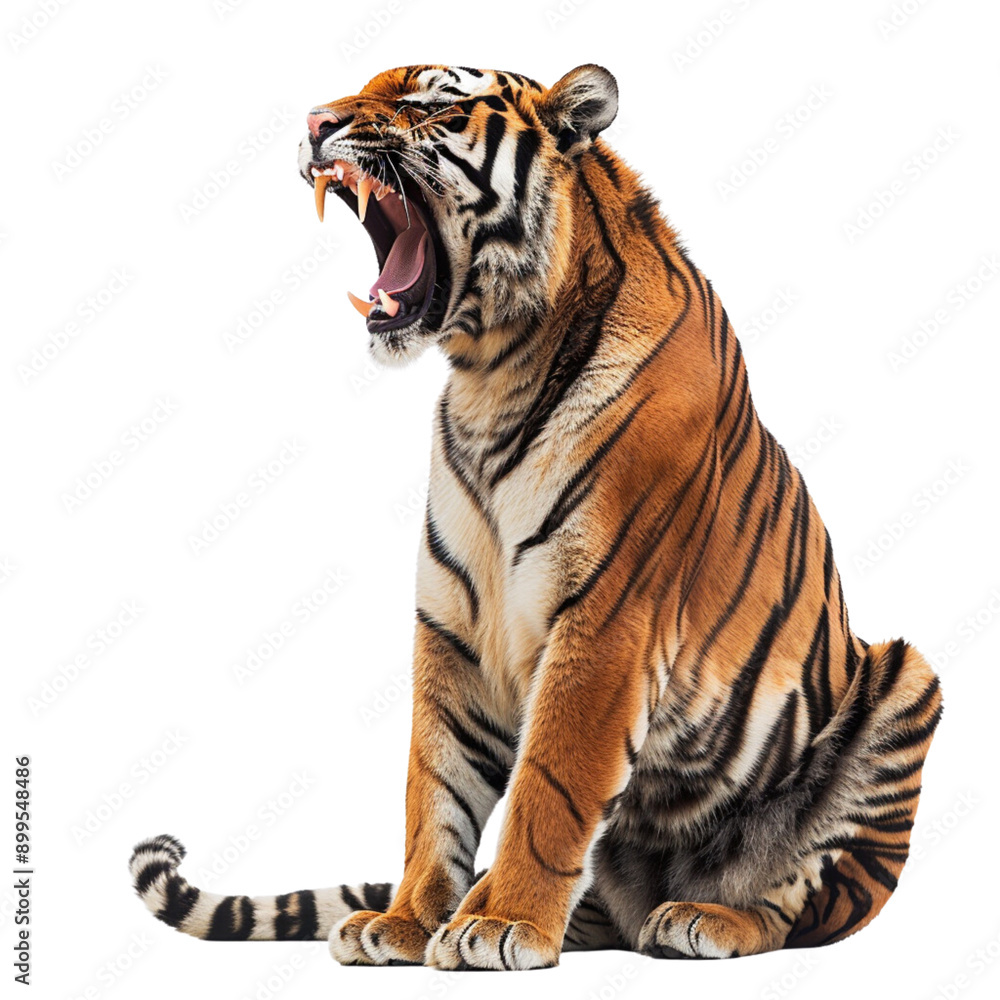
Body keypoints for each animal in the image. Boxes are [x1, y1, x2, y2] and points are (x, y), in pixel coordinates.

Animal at [130, 63, 943, 970]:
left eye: (430, 103)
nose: (314, 124)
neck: (492, 373)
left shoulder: (607, 621)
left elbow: (548, 788)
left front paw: (502, 924)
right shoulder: (452, 624)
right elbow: (433, 788)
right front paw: (409, 921)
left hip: (904, 687)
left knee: (804, 904)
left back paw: (703, 919)